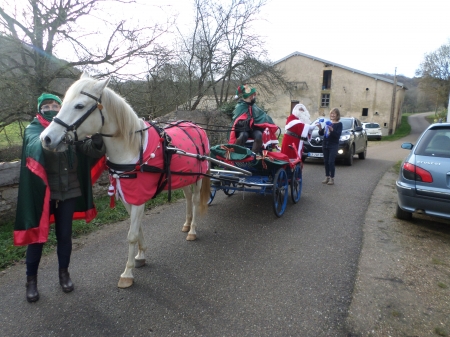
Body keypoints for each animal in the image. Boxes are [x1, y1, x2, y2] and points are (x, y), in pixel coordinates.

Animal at [40, 71, 211, 286]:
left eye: (79, 105)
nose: (46, 138)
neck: (132, 149)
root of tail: (195, 126)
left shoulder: (138, 198)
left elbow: (131, 235)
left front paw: (127, 273)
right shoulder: (127, 197)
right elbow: (137, 229)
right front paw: (141, 255)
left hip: (198, 177)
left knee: (195, 200)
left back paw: (192, 230)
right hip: (184, 178)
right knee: (188, 198)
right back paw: (187, 224)